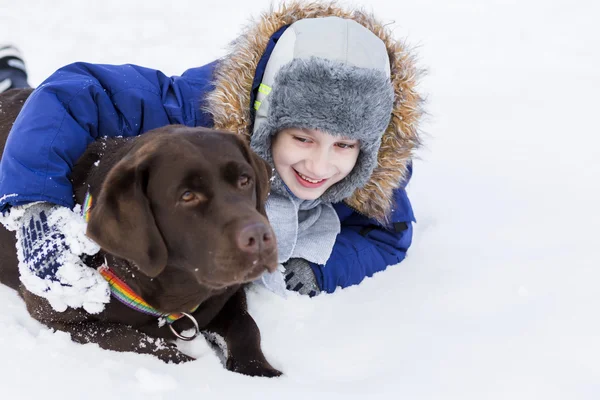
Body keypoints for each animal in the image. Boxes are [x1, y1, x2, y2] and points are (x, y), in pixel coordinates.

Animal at [0, 89, 282, 376]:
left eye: (245, 180)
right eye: (187, 196)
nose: (260, 237)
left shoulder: (228, 294)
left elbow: (246, 327)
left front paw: (261, 372)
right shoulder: (59, 316)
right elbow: (139, 341)